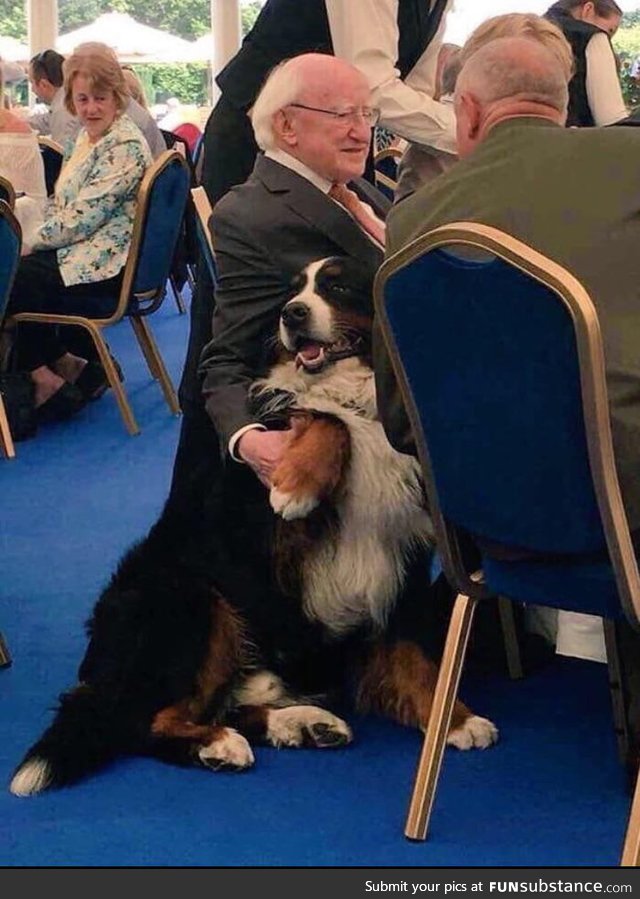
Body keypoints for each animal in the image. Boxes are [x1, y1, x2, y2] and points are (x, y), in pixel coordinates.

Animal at [11, 256, 500, 800]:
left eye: (337, 287)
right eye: (292, 292)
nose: (292, 315)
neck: (359, 394)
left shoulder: (403, 558)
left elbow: (414, 656)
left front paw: (456, 720)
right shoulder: (278, 536)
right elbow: (323, 419)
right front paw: (296, 485)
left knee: (220, 704)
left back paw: (304, 723)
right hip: (189, 597)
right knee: (141, 723)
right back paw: (219, 745)